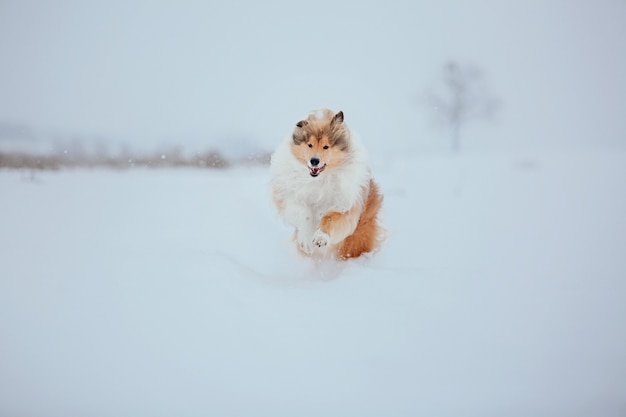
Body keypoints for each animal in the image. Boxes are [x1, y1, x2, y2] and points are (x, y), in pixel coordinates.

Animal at [270, 109, 382, 258]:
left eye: (326, 146)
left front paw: (320, 238)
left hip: (358, 236)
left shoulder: (344, 206)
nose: (314, 161)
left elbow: (330, 218)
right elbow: (304, 214)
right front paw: (306, 241)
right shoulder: (290, 198)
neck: (319, 179)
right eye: (309, 145)